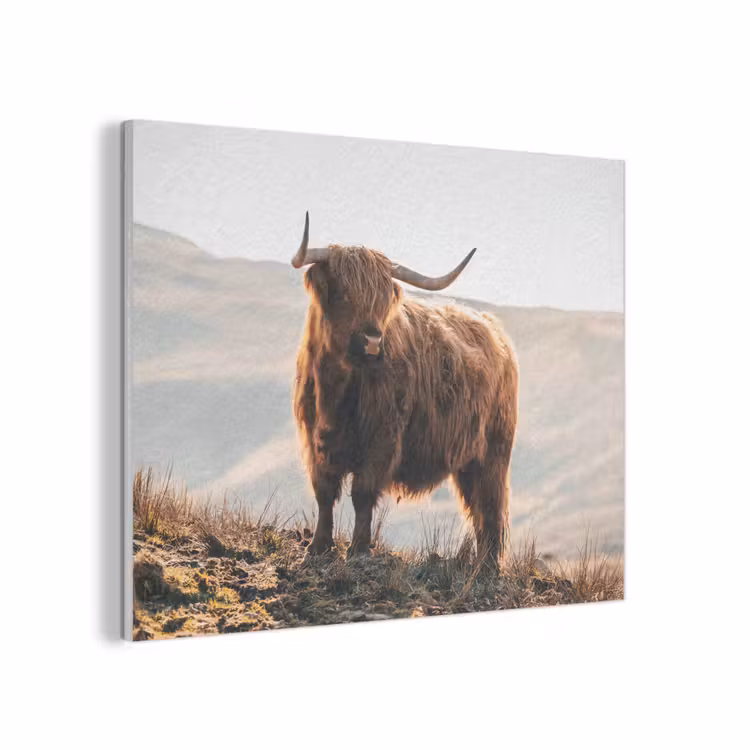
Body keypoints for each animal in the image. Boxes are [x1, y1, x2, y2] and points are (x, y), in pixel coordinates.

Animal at [292, 213, 519, 570]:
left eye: (383, 299)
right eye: (342, 294)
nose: (372, 341)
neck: (336, 389)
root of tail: (492, 326)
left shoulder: (382, 438)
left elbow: (362, 493)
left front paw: (358, 549)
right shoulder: (314, 441)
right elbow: (324, 492)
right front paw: (318, 548)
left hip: (493, 451)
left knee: (491, 505)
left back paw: (487, 568)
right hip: (469, 459)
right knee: (478, 508)